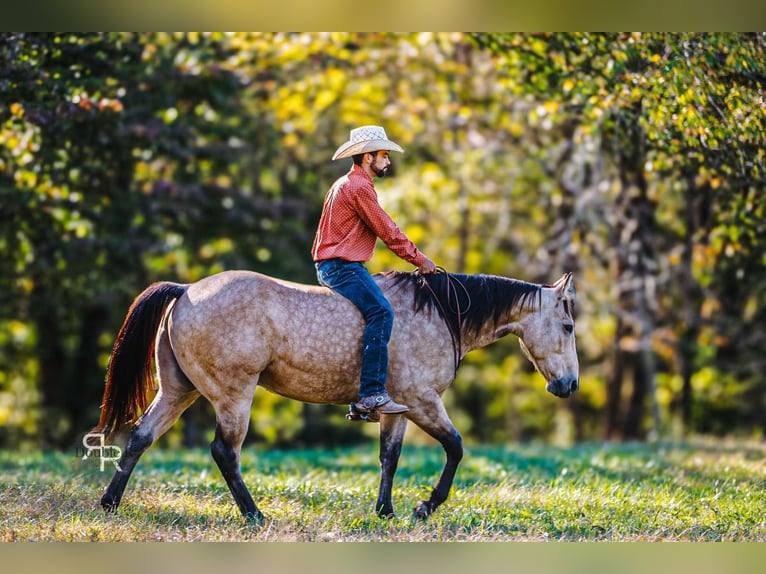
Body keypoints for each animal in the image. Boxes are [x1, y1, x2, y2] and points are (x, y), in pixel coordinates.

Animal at [94, 268, 579, 522]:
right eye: (569, 325)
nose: (569, 385)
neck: (440, 313)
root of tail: (186, 291)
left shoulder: (398, 408)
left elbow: (389, 457)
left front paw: (386, 511)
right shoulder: (424, 402)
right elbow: (456, 448)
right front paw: (425, 506)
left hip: (179, 391)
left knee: (140, 438)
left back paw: (110, 503)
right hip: (233, 396)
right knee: (224, 452)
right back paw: (255, 515)